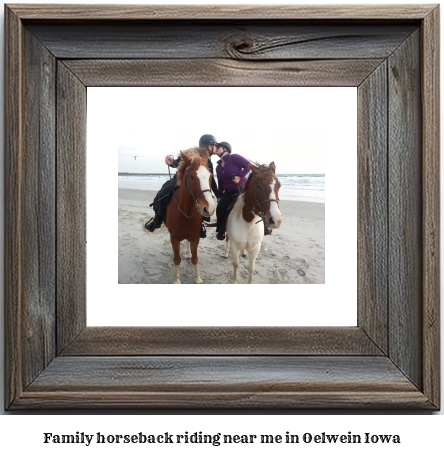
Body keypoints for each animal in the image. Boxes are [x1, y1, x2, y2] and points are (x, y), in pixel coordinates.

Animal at [163, 148, 215, 284]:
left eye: (210, 176)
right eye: (191, 176)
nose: (209, 208)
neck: (186, 213)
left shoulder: (195, 237)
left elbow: (195, 258)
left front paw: (197, 277)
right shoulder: (174, 238)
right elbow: (177, 259)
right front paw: (176, 280)